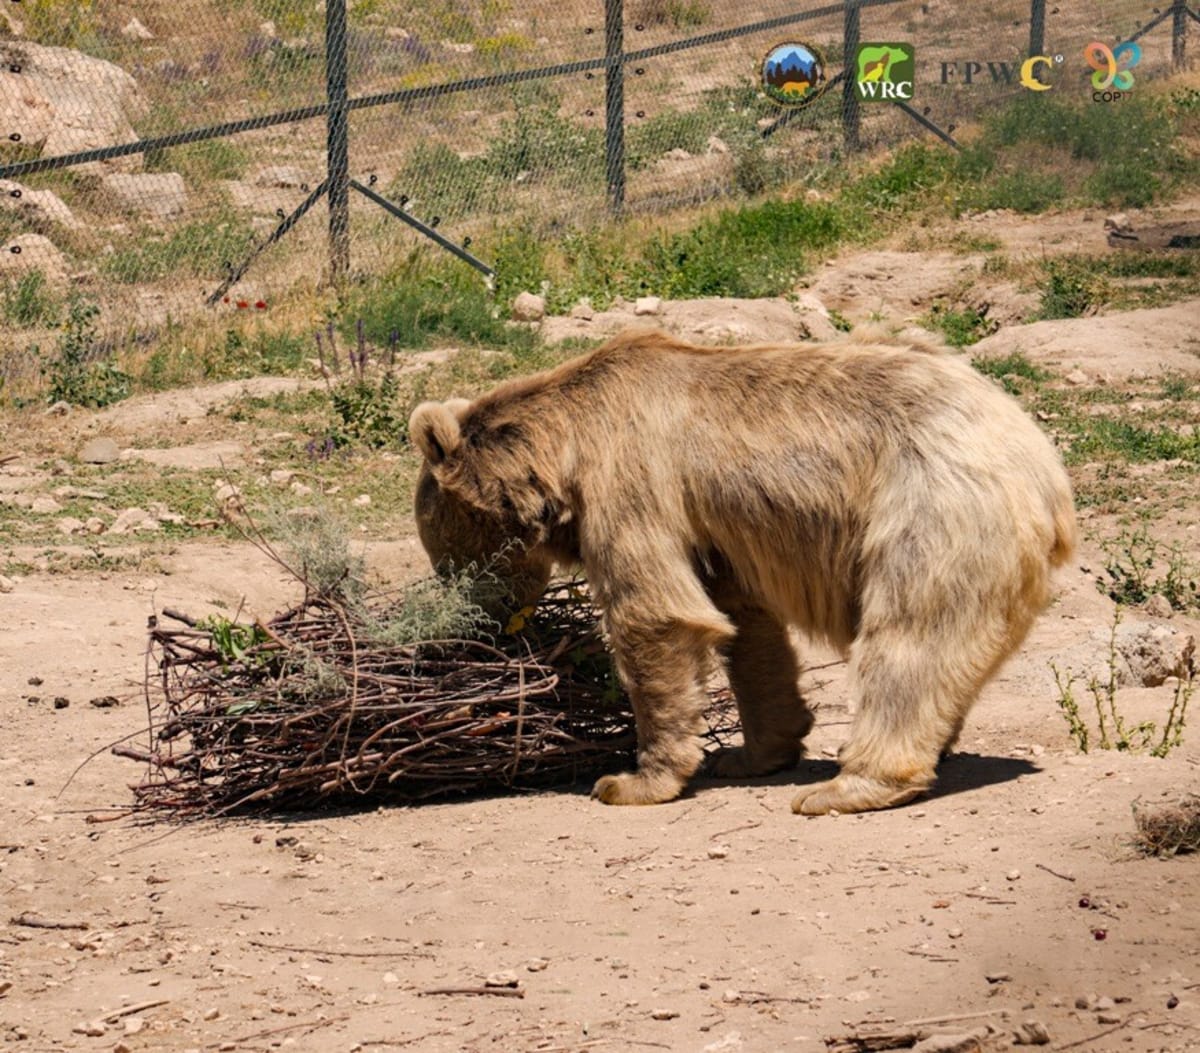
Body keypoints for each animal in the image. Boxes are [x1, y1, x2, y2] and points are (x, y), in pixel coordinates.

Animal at [409, 328, 1076, 815]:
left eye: (446, 559)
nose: (476, 620)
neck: (561, 452)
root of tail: (1045, 470)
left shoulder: (627, 481)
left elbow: (655, 614)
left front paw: (632, 779)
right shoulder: (711, 534)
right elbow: (745, 628)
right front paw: (756, 750)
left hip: (933, 507)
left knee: (910, 637)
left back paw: (848, 786)